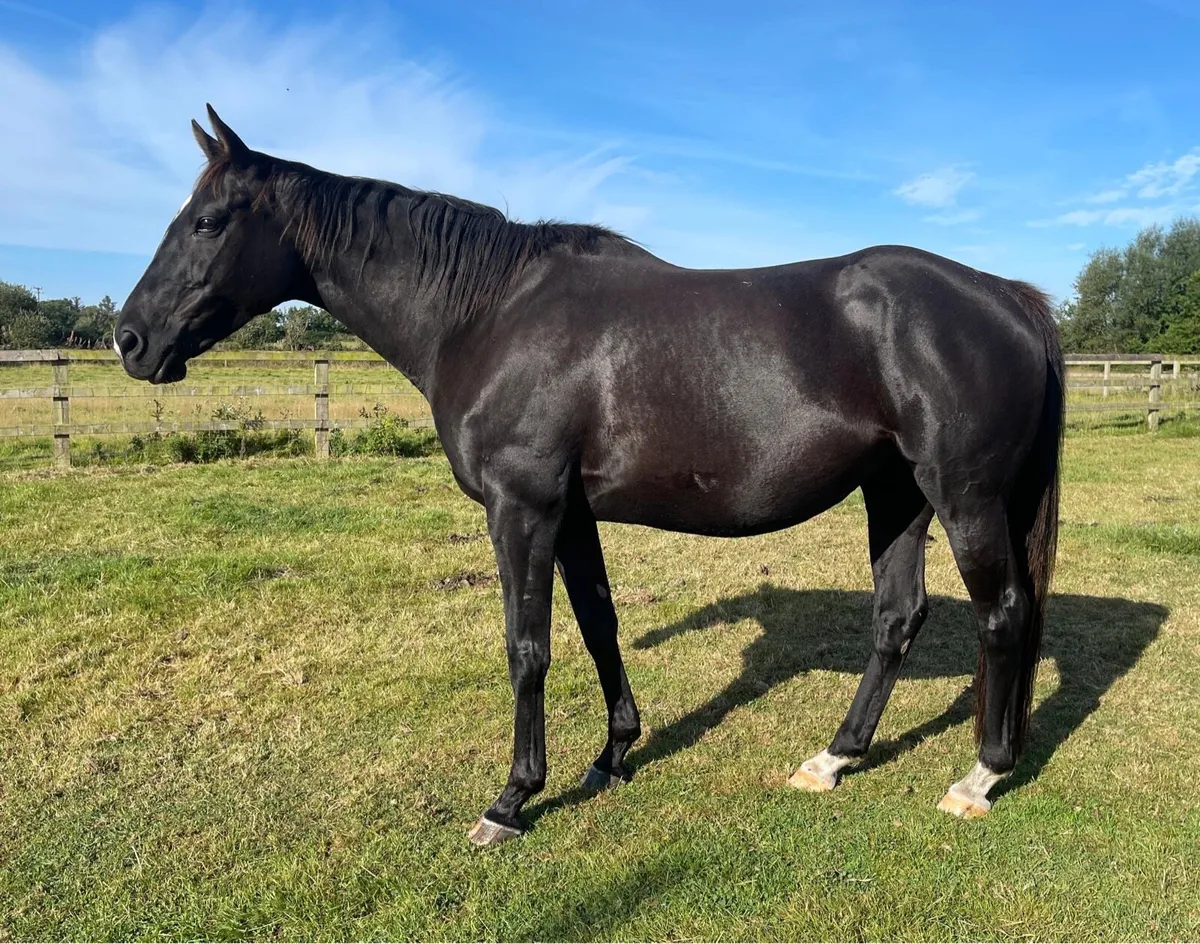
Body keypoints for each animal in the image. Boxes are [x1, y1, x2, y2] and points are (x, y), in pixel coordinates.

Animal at [115, 107, 1063, 846]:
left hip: (963, 498)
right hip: (895, 493)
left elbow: (527, 647)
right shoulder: (571, 514)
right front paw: (613, 755)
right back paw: (832, 759)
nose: (131, 339)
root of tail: (1006, 296)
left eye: (208, 222)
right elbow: (600, 626)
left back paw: (979, 777)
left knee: (1004, 615)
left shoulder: (521, 508)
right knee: (897, 617)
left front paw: (512, 799)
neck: (487, 313)